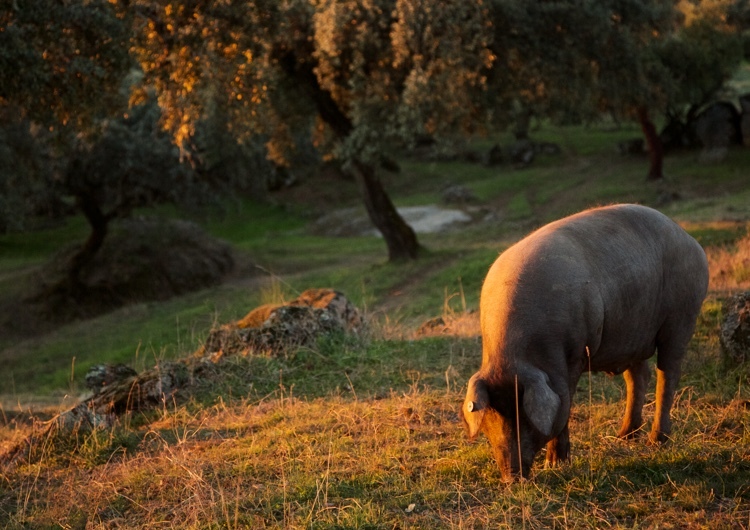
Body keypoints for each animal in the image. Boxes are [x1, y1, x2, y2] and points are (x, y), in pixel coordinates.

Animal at [464, 202, 712, 478]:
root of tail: (689, 239)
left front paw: (555, 464)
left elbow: (566, 404)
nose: (511, 477)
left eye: (525, 415)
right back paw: (624, 437)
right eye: (491, 415)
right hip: (631, 335)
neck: (517, 354)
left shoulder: (575, 356)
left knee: (668, 373)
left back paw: (655, 441)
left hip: (682, 315)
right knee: (639, 377)